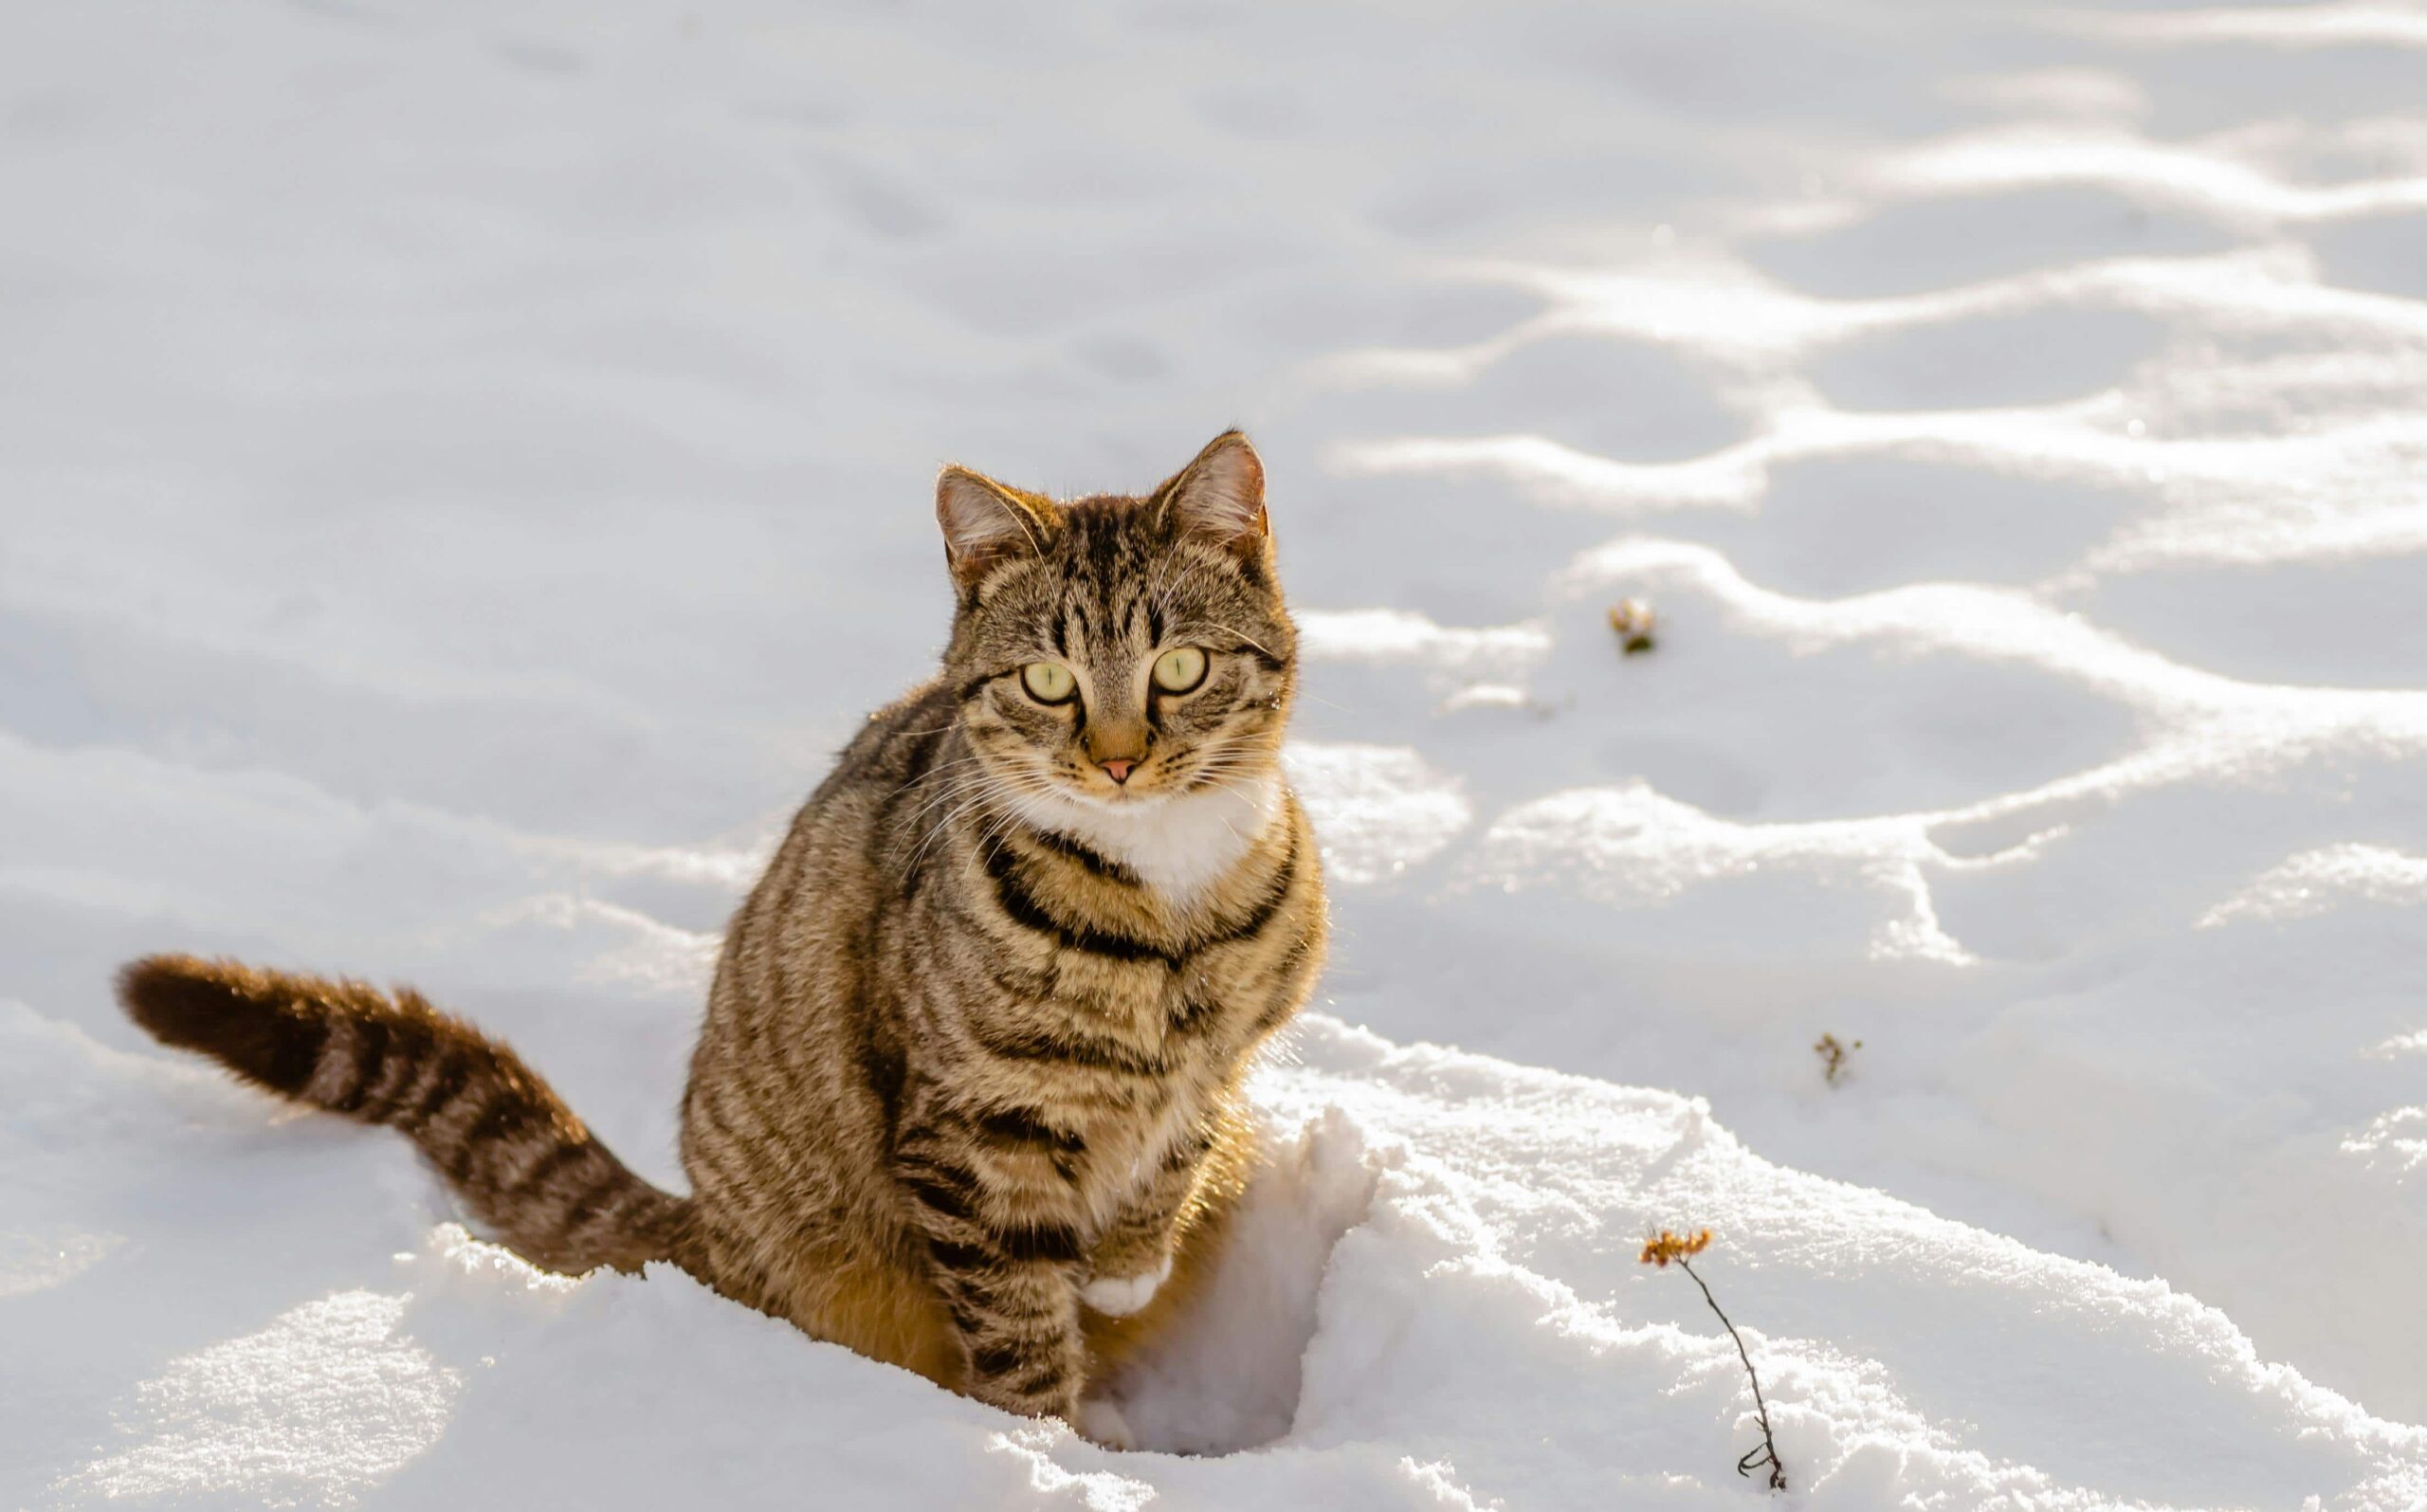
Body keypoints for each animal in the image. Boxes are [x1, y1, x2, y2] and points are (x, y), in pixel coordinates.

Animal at [118, 429, 1329, 1446]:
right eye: (1046, 680)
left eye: (1179, 668)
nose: (1118, 761)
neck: (1164, 903)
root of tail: (705, 1222)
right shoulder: (971, 1136)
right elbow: (1019, 1325)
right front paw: (1047, 1452)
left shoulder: (1227, 1059)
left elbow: (1175, 1147)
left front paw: (1127, 1262)